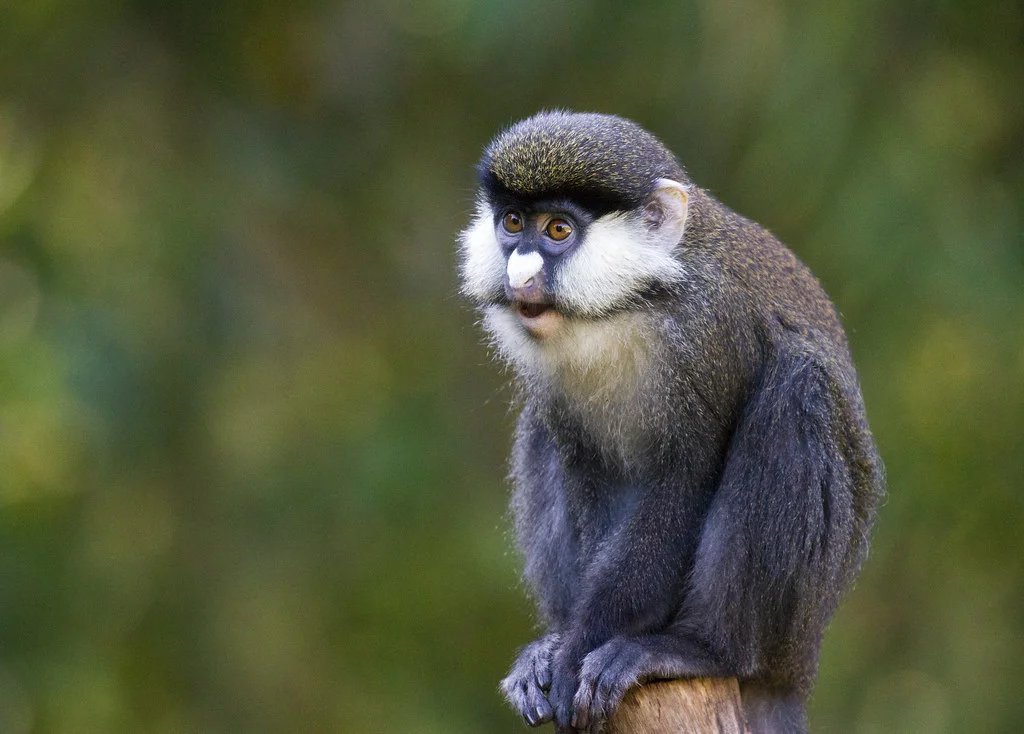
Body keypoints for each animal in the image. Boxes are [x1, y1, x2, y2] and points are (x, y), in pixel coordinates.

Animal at [457, 111, 884, 733]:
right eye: (512, 223)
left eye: (558, 230)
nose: (520, 272)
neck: (630, 304)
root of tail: (799, 669)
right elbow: (589, 474)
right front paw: (563, 649)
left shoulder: (711, 332)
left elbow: (686, 481)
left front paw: (583, 649)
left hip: (793, 622)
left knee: (796, 393)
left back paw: (700, 650)